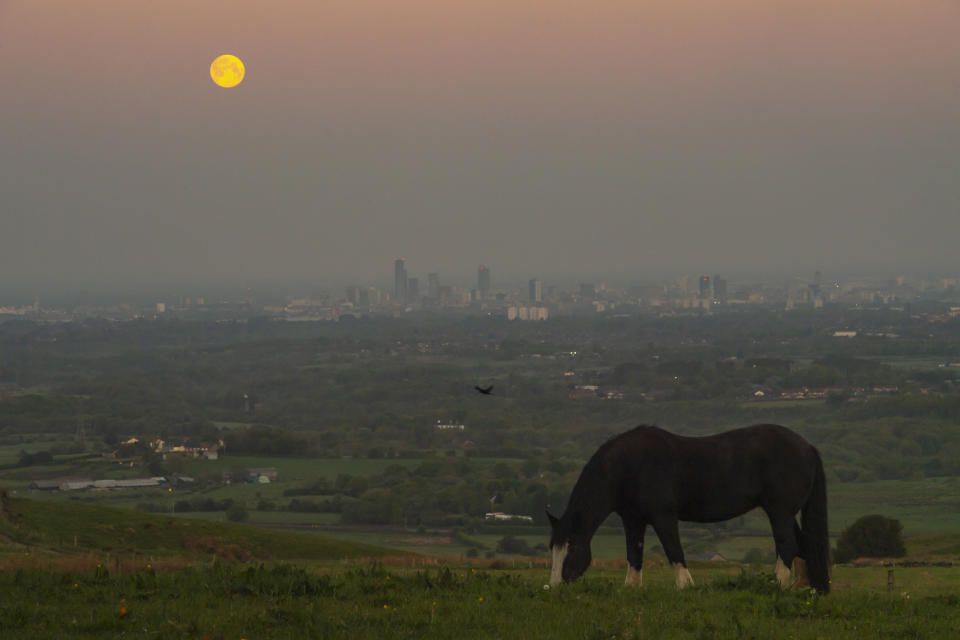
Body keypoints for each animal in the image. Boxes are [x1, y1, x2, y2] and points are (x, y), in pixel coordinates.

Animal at [552, 424, 828, 596]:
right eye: (553, 548)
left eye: (572, 548)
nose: (553, 587)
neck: (629, 465)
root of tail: (807, 447)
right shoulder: (633, 520)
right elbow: (634, 554)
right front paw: (631, 588)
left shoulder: (663, 517)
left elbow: (673, 550)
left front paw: (685, 586)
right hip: (786, 514)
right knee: (804, 546)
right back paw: (810, 589)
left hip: (780, 512)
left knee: (787, 546)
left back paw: (778, 586)